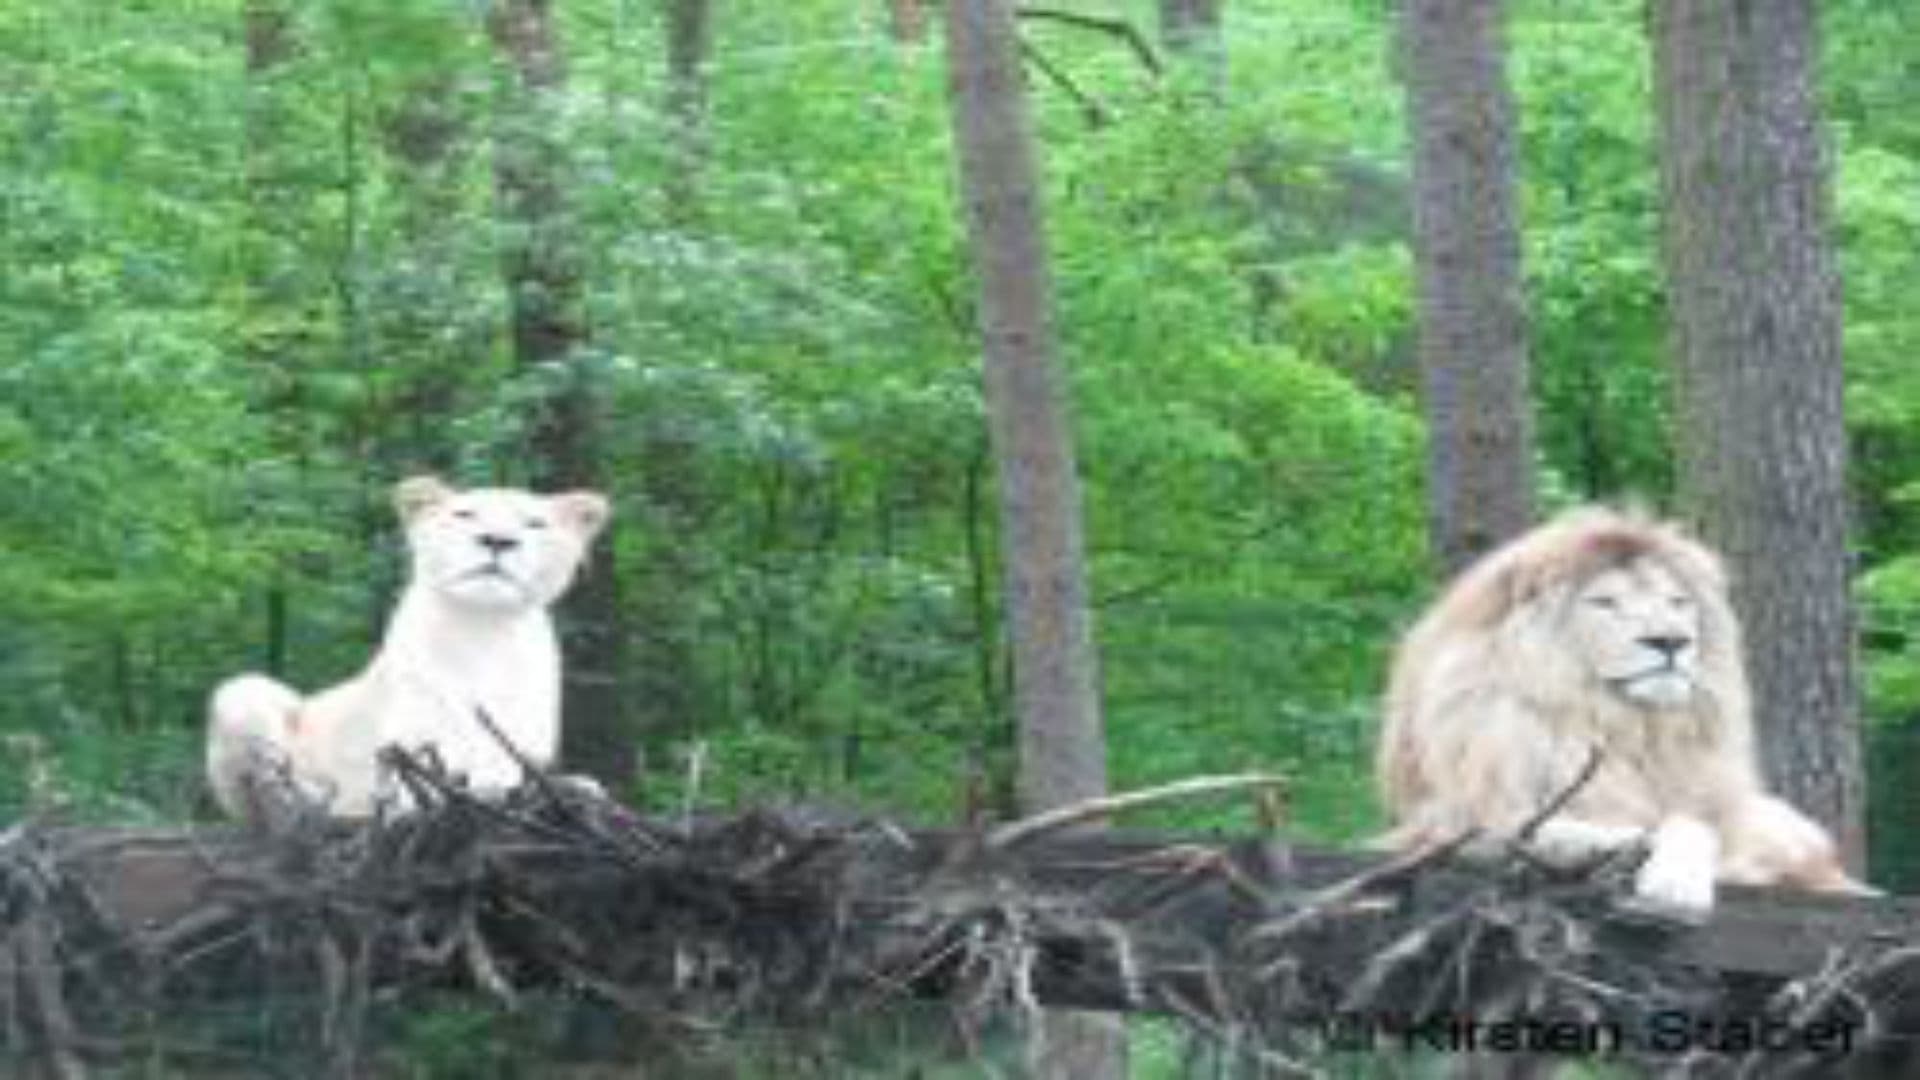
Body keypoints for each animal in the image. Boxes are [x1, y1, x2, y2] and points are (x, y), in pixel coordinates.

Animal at [206, 474, 606, 810]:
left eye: (535, 523)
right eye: (465, 514)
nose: (497, 541)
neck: (481, 628)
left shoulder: (521, 745)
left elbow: (518, 773)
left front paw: (563, 787)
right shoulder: (409, 742)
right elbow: (419, 784)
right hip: (246, 691)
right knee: (264, 801)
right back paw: (319, 799)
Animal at [1374, 503, 1866, 914]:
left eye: (1677, 602)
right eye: (1605, 602)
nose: (1671, 641)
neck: (1628, 727)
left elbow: (1699, 824)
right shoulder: (1456, 826)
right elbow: (1631, 829)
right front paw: (1663, 875)